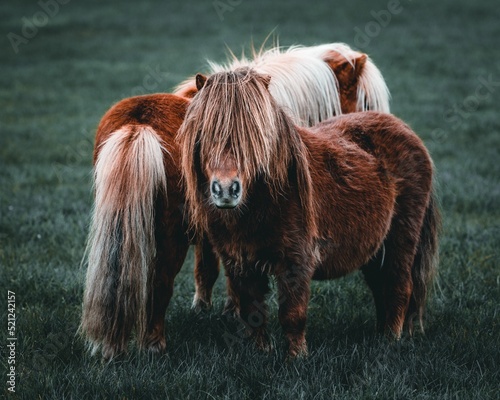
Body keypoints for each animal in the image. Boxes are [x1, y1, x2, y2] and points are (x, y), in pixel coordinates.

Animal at [178, 68, 440, 356]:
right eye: (205, 133)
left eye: (255, 136)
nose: (226, 190)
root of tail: (406, 131)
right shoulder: (239, 262)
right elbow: (251, 310)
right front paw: (261, 352)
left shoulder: (297, 260)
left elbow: (292, 314)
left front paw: (297, 357)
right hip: (375, 249)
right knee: (381, 286)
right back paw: (382, 336)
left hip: (401, 239)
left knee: (398, 286)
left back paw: (392, 339)